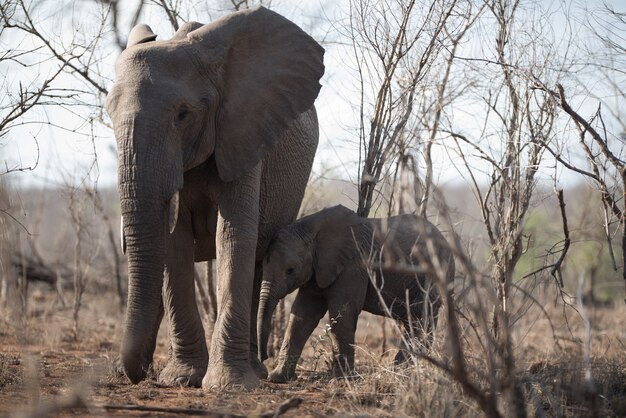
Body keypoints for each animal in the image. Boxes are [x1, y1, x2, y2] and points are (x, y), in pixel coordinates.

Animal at [103, 6, 322, 390]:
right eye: (108, 114)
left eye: (182, 115)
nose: (139, 376)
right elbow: (173, 244)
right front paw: (182, 379)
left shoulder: (243, 132)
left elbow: (233, 236)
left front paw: (228, 385)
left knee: (258, 265)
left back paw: (256, 371)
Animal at [256, 203, 450, 382]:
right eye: (264, 263)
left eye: (290, 270)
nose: (263, 357)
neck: (311, 228)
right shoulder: (318, 269)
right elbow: (302, 316)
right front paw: (278, 378)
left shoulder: (353, 266)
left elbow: (342, 314)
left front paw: (340, 380)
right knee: (414, 322)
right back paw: (398, 372)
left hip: (432, 277)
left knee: (421, 320)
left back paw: (399, 373)